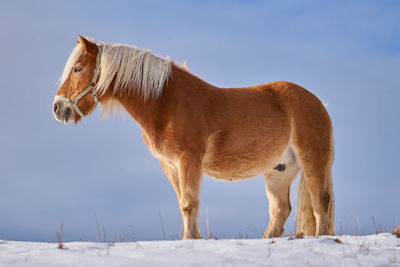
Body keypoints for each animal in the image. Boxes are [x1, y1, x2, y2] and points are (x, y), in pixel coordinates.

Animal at [53, 36, 334, 241]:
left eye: (78, 68)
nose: (58, 108)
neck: (166, 103)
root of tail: (319, 103)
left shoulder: (189, 159)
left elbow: (190, 203)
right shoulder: (169, 164)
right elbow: (183, 203)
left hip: (312, 159)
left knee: (321, 203)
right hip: (279, 171)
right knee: (280, 210)